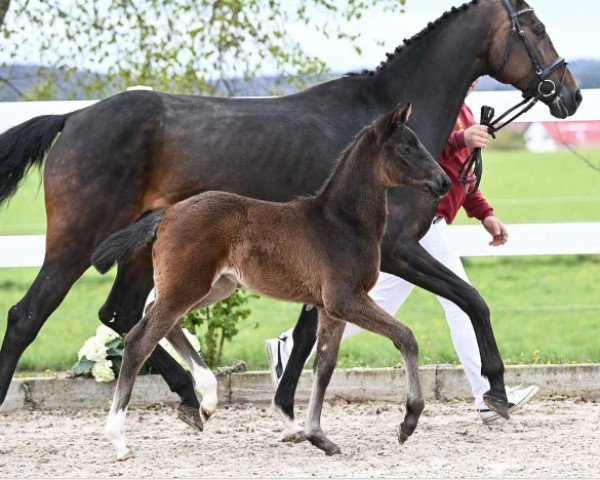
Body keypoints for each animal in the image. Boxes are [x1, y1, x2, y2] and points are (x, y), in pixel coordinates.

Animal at [92, 104, 450, 458]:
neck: (342, 222)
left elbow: (324, 366)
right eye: (406, 148)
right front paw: (408, 421)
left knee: (159, 317)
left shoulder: (329, 307)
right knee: (139, 339)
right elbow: (405, 337)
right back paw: (119, 439)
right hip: (187, 286)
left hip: (213, 286)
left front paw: (318, 437)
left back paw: (206, 399)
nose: (443, 181)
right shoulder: (345, 299)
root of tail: (166, 214)